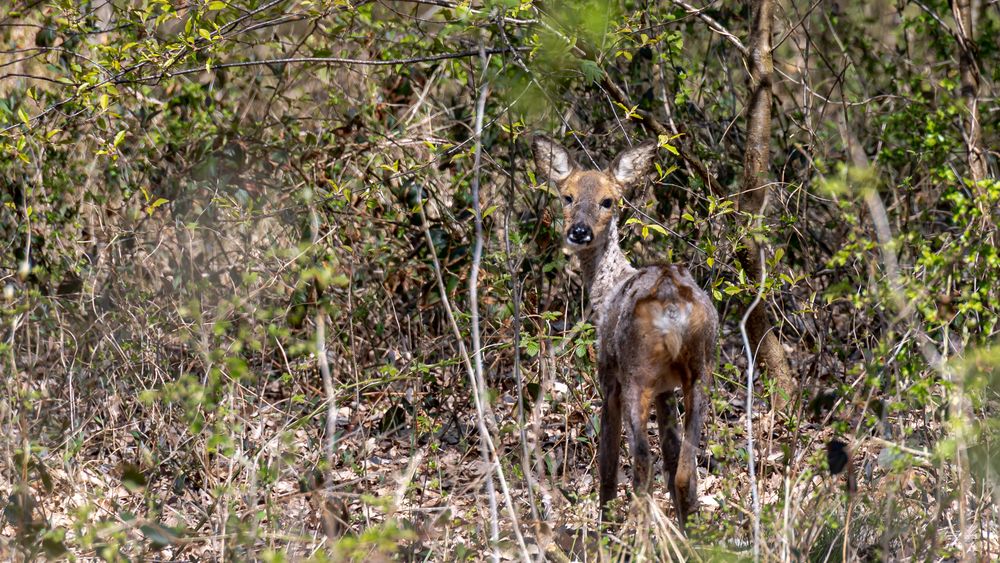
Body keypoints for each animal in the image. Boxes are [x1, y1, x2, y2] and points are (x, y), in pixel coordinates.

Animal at [536, 135, 716, 528]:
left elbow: (607, 463)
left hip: (637, 373)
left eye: (608, 200)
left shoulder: (608, 376)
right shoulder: (666, 390)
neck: (607, 288)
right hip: (699, 371)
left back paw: (632, 530)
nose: (579, 232)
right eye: (567, 196)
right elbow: (672, 455)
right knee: (685, 467)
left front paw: (603, 524)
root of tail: (672, 304)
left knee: (642, 461)